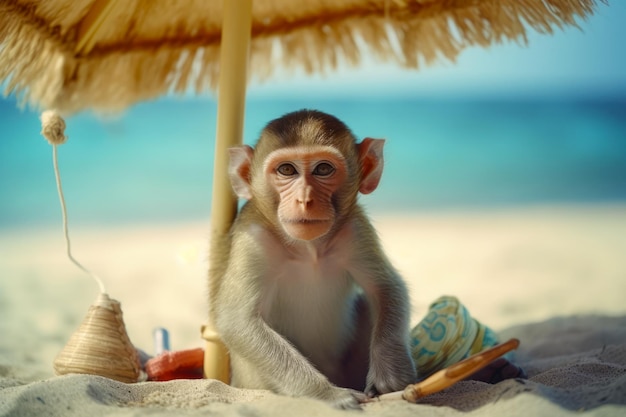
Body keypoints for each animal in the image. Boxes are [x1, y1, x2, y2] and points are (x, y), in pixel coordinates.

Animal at [208, 109, 414, 408]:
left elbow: (386, 288)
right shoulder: (253, 238)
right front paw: (328, 393)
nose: (305, 200)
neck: (307, 249)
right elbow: (237, 320)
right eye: (286, 170)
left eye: (323, 169)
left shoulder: (355, 229)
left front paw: (391, 373)